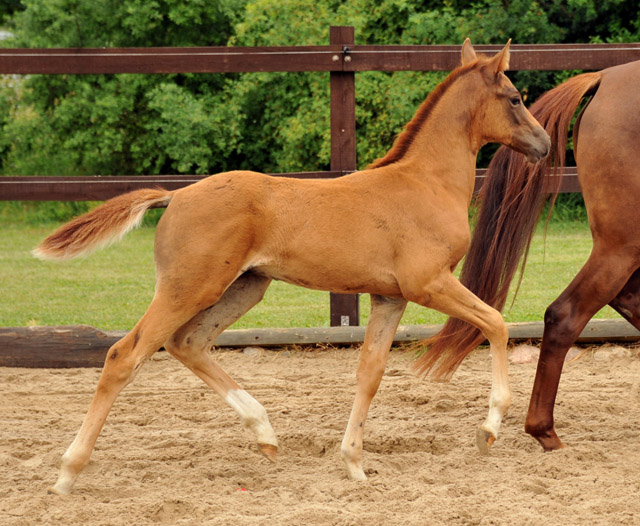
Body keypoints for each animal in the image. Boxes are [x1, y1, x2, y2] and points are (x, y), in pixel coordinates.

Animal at [32, 40, 548, 496]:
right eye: (515, 97)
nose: (543, 143)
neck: (425, 182)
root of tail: (175, 196)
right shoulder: (429, 284)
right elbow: (497, 323)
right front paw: (489, 429)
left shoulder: (390, 296)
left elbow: (370, 372)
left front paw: (354, 464)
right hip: (189, 288)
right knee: (126, 355)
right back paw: (67, 473)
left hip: (244, 287)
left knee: (187, 343)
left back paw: (264, 433)